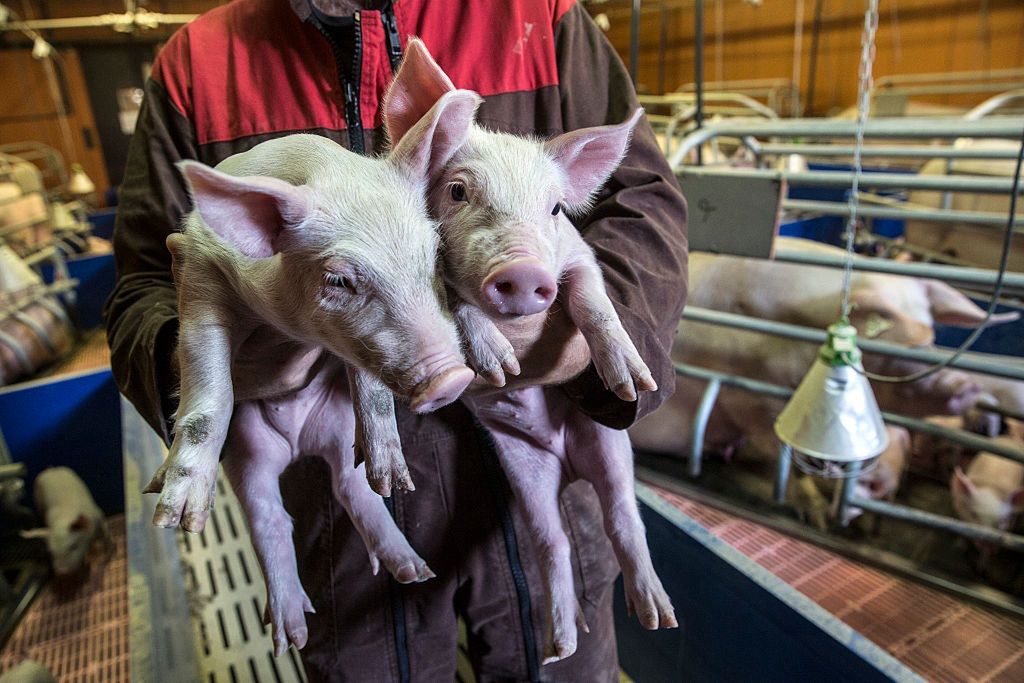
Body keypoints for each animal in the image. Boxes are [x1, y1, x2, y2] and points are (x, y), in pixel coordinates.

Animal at [144, 91, 482, 653]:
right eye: (339, 280)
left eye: (433, 253)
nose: (451, 379)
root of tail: (299, 444)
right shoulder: (198, 269)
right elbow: (210, 391)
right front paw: (176, 519)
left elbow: (367, 382)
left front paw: (399, 477)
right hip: (249, 450)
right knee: (270, 515)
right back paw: (289, 636)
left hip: (338, 429)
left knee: (353, 486)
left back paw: (412, 563)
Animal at [384, 40, 676, 663]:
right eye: (458, 191)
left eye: (556, 209)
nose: (522, 272)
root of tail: (563, 460)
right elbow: (455, 301)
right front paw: (500, 364)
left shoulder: (577, 254)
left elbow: (590, 298)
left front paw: (631, 381)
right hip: (523, 468)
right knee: (552, 542)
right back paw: (558, 646)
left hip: (607, 442)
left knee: (622, 517)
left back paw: (656, 618)